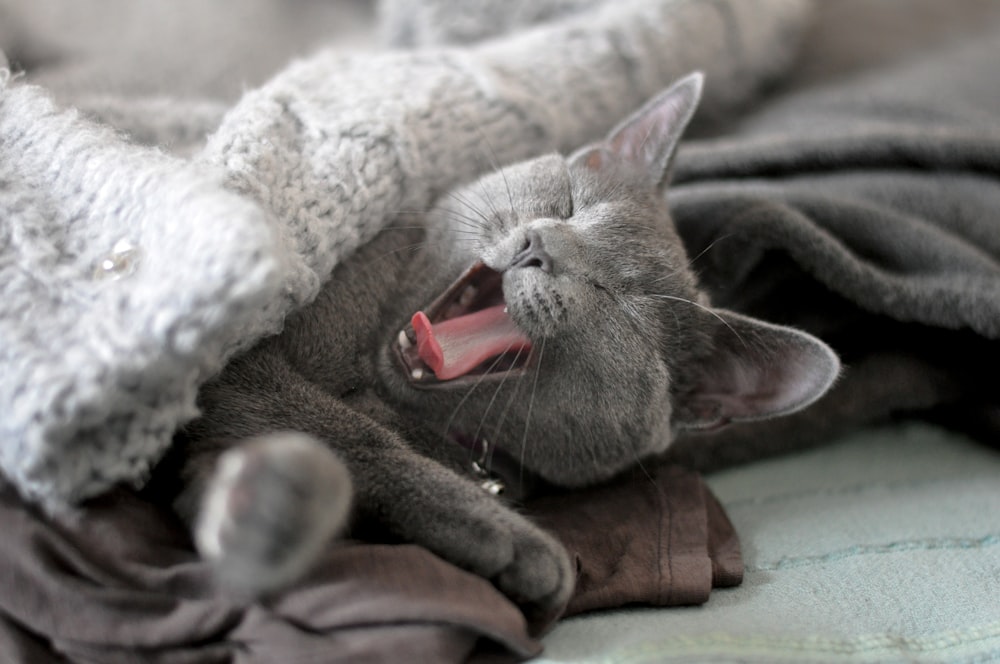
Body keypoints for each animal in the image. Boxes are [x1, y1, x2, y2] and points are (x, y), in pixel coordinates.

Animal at [160, 75, 840, 620]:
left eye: (619, 298)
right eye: (569, 202)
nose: (541, 244)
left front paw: (263, 513)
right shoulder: (240, 365)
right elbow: (349, 434)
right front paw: (515, 542)